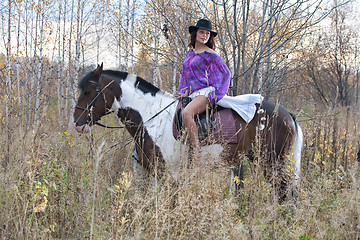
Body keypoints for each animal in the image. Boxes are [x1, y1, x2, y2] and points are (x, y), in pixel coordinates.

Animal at [74, 64, 304, 202]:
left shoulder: (166, 172)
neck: (151, 116)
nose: (78, 123)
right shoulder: (152, 171)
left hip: (272, 162)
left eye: (88, 91)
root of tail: (287, 115)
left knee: (285, 194)